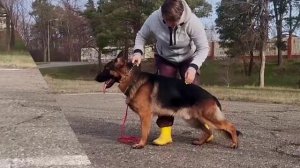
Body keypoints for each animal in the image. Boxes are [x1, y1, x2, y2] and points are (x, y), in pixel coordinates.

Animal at [96, 53, 239, 149]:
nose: (96, 78)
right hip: (194, 120)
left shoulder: (145, 115)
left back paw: (234, 144)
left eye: (106, 69)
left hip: (208, 118)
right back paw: (200, 142)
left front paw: (141, 144)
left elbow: (144, 131)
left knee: (231, 126)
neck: (131, 78)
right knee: (209, 131)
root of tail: (212, 96)